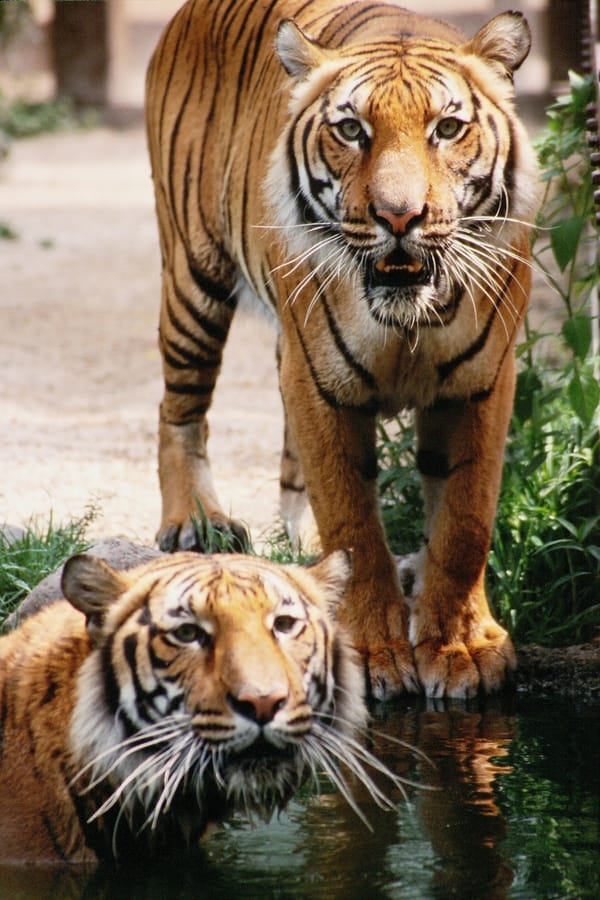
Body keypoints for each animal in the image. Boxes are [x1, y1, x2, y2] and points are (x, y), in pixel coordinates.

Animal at [145, 1, 539, 701]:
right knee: (179, 410)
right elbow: (353, 518)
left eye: (448, 128)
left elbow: (465, 522)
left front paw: (460, 647)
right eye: (352, 130)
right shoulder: (319, 382)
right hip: (195, 272)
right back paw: (195, 521)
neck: (409, 319)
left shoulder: (480, 382)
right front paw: (375, 650)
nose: (400, 217)